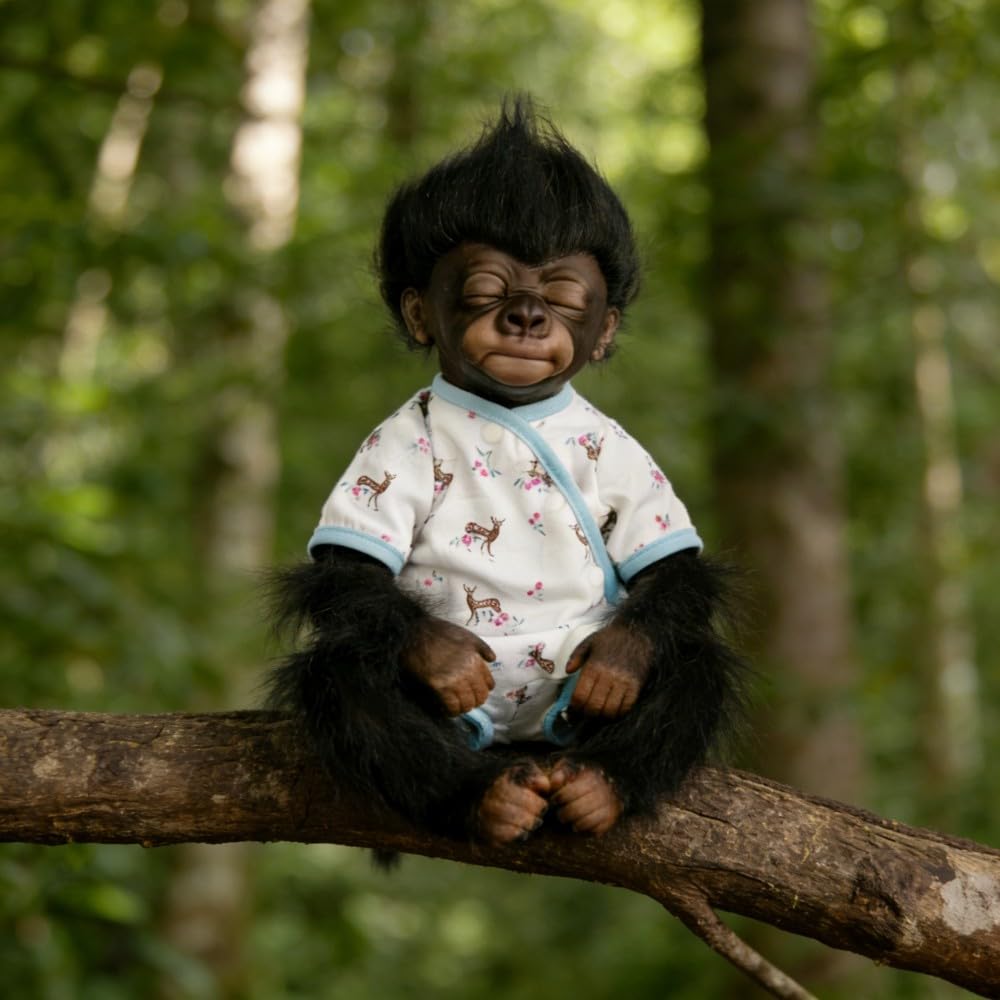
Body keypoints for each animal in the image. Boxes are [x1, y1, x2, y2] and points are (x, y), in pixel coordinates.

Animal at [267, 97, 747, 846]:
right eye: (487, 290)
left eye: (566, 296)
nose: (525, 317)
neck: (512, 408)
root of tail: (520, 734)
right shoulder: (388, 444)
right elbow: (353, 571)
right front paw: (447, 657)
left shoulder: (625, 452)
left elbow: (668, 569)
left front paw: (619, 661)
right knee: (343, 674)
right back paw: (485, 798)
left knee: (695, 665)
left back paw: (599, 786)